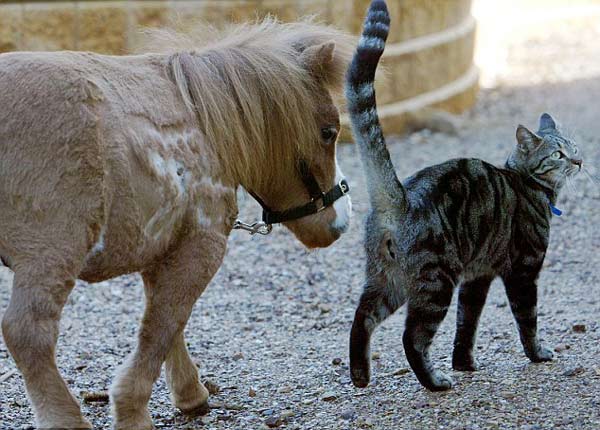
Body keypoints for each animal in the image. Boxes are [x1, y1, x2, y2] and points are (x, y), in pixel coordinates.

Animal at [344, 0, 584, 392]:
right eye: (558, 154)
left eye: (574, 148)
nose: (579, 161)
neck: (527, 182)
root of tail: (400, 198)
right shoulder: (523, 269)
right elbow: (528, 320)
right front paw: (537, 354)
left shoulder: (478, 278)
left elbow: (466, 325)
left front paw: (465, 364)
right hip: (436, 282)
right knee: (412, 338)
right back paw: (434, 382)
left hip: (387, 279)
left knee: (362, 318)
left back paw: (361, 375)